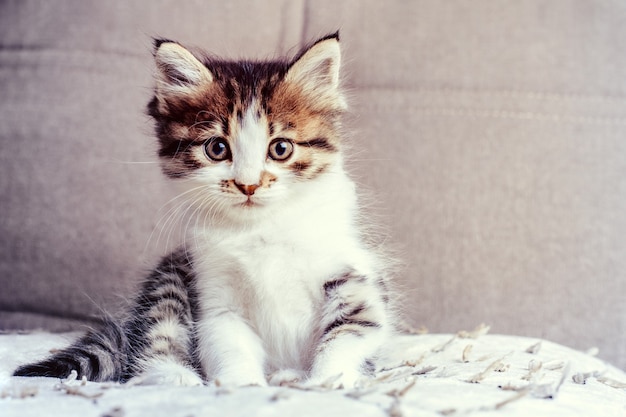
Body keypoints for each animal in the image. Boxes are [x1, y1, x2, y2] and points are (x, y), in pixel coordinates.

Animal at [12, 32, 394, 386]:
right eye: (217, 148)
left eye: (281, 148)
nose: (248, 185)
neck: (258, 230)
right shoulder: (216, 299)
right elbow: (229, 347)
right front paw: (242, 388)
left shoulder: (354, 278)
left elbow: (350, 332)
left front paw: (328, 380)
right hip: (169, 280)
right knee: (153, 344)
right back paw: (178, 377)